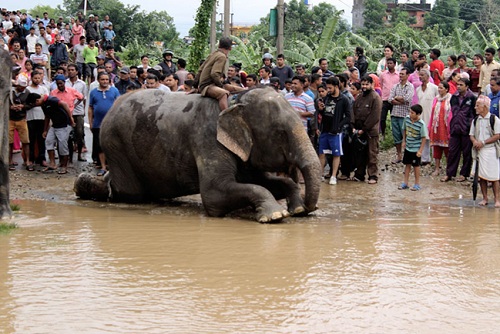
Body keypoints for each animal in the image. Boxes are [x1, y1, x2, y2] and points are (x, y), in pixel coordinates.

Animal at [75, 87, 322, 222]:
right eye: (280, 133)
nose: (310, 208)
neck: (236, 100)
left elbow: (268, 181)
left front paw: (297, 209)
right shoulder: (206, 138)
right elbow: (215, 194)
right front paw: (276, 216)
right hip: (115, 143)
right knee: (127, 192)